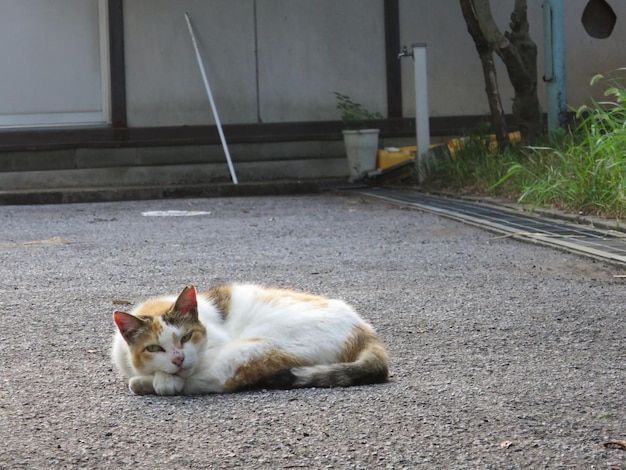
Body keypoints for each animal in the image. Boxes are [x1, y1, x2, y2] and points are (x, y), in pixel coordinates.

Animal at [109, 284, 388, 394]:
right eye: (154, 348)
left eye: (186, 337)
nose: (178, 359)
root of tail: (365, 331)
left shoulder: (212, 349)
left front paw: (164, 380)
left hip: (255, 348)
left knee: (217, 381)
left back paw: (146, 384)